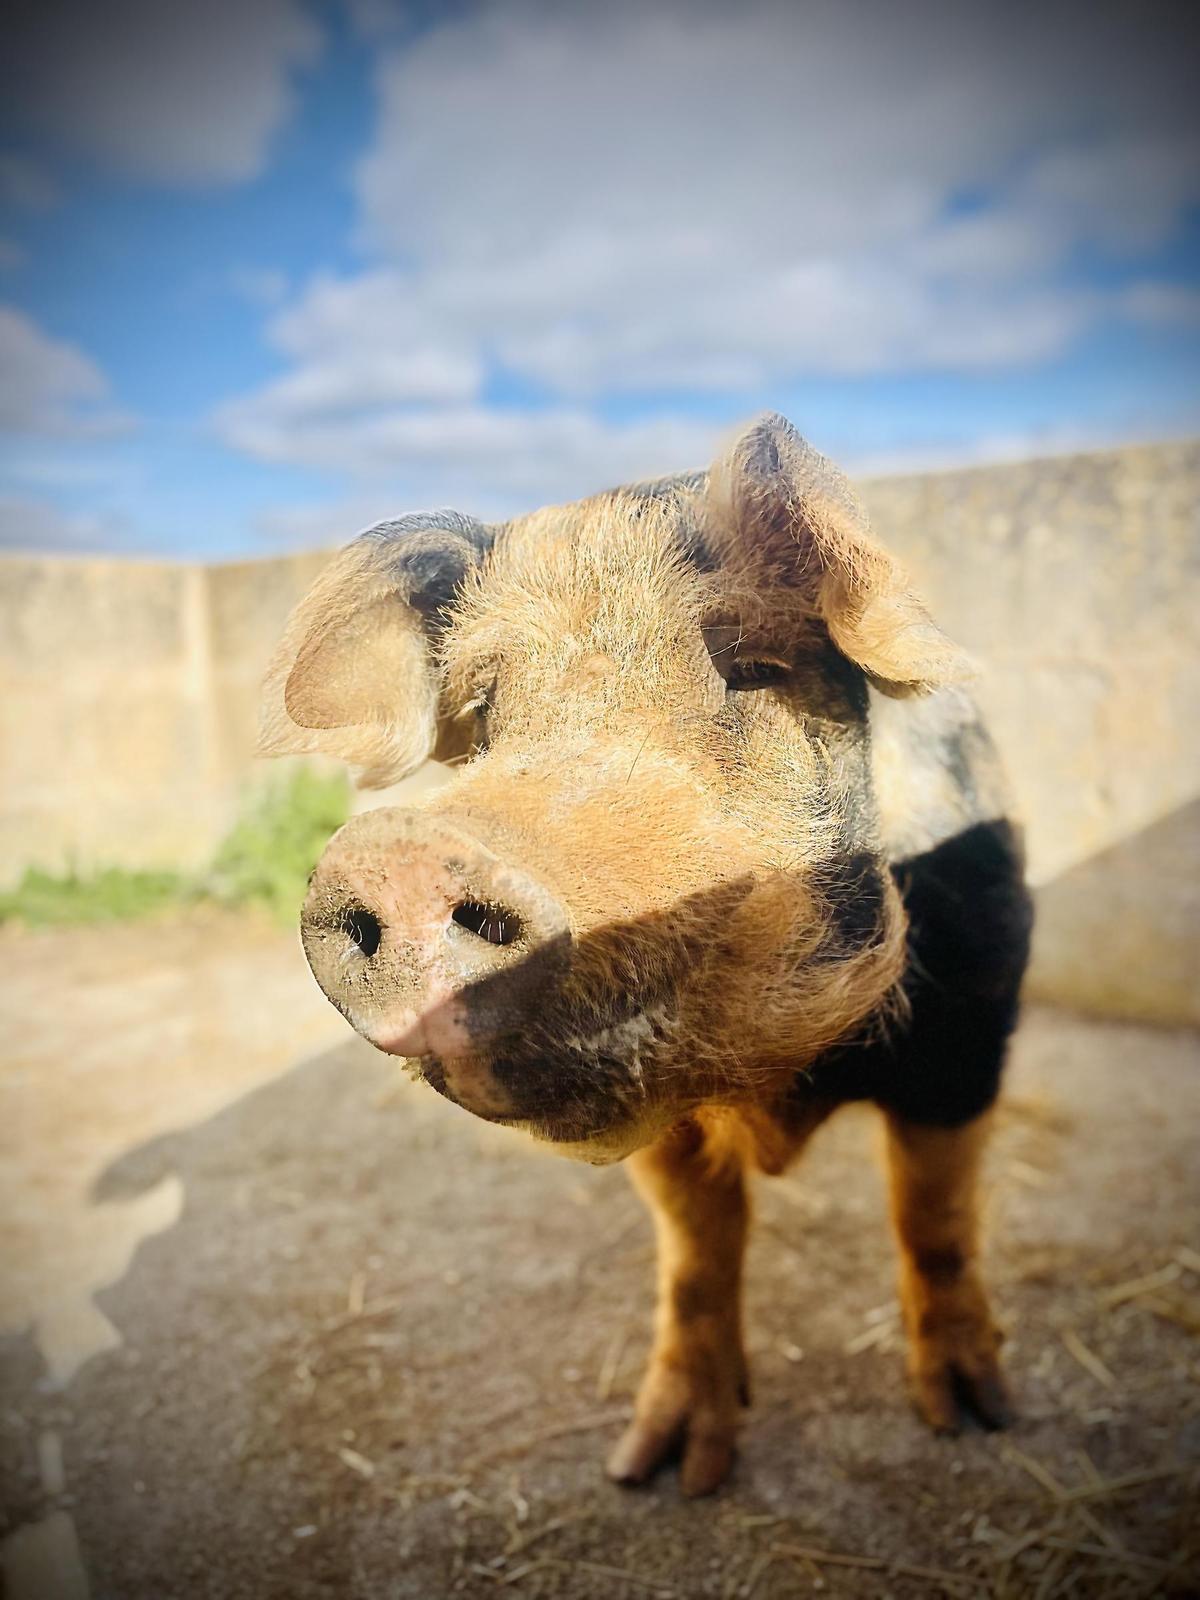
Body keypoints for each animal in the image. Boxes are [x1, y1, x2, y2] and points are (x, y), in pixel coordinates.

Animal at [259, 413, 1033, 1496]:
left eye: (747, 662)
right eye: (485, 716)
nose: (396, 851)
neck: (772, 1081)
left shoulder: (973, 1015)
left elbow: (935, 1213)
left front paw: (976, 1420)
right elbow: (697, 1254)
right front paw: (659, 1471)